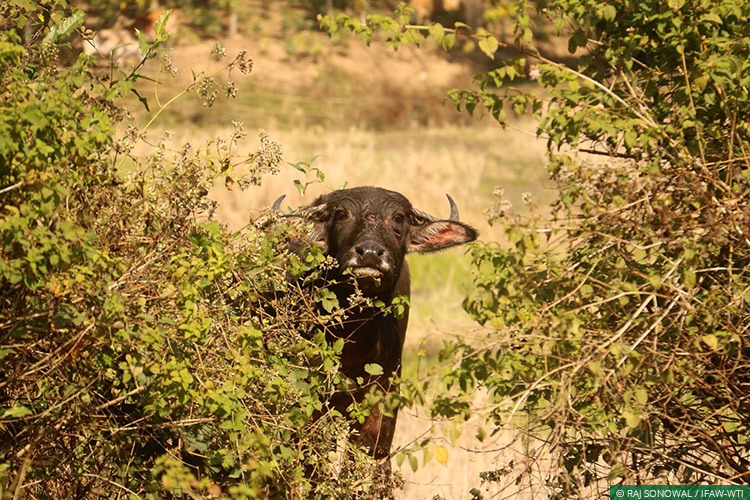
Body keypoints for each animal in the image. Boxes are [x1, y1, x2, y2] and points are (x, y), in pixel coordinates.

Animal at [272, 186, 477, 465]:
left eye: (398, 217)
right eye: (341, 214)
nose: (369, 253)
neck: (354, 340)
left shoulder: (384, 396)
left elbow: (371, 454)